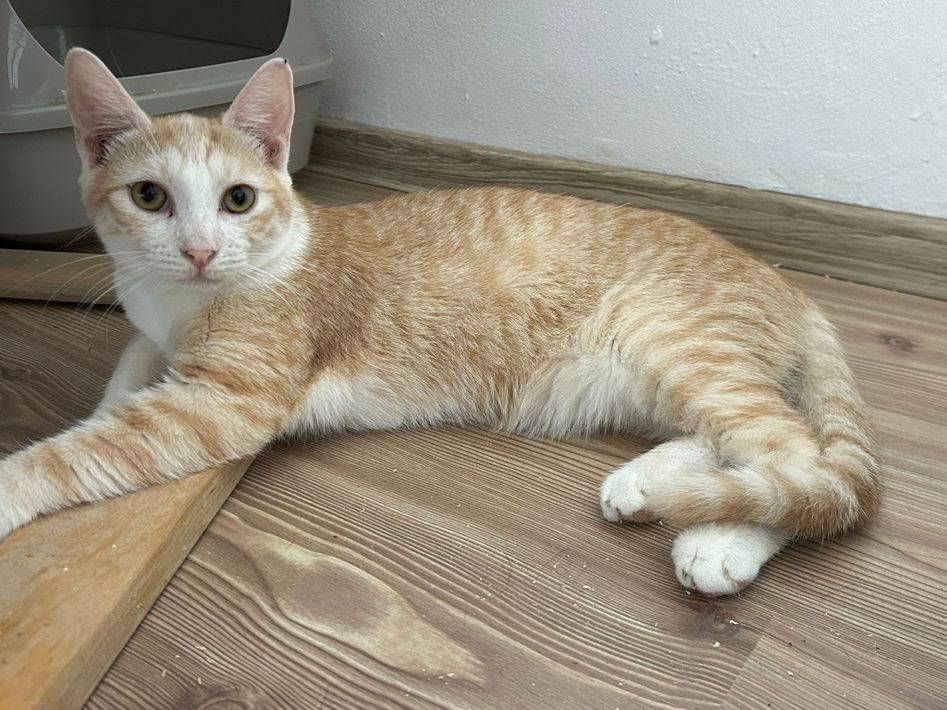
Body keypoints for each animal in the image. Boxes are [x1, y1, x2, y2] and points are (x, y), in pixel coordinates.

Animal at [0, 48, 880, 596]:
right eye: (149, 196)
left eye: (237, 198)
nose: (198, 250)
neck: (189, 299)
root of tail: (780, 278)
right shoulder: (151, 336)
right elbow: (121, 384)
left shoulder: (224, 401)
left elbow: (87, 449)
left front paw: (13, 486)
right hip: (652, 377)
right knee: (738, 445)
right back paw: (649, 484)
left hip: (676, 341)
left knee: (803, 465)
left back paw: (723, 537)